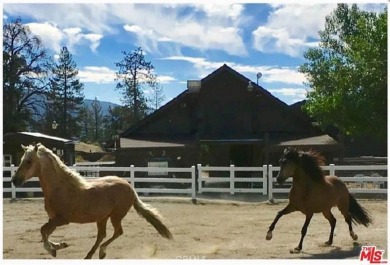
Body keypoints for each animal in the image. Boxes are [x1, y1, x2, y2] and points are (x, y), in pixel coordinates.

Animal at [11, 143, 173, 256]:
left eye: (29, 161)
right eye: (22, 160)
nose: (14, 180)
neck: (60, 188)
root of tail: (130, 187)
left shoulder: (62, 219)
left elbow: (43, 231)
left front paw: (53, 250)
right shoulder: (53, 219)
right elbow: (44, 233)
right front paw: (60, 245)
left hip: (115, 216)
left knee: (117, 232)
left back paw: (101, 252)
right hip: (102, 217)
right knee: (102, 235)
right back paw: (90, 255)